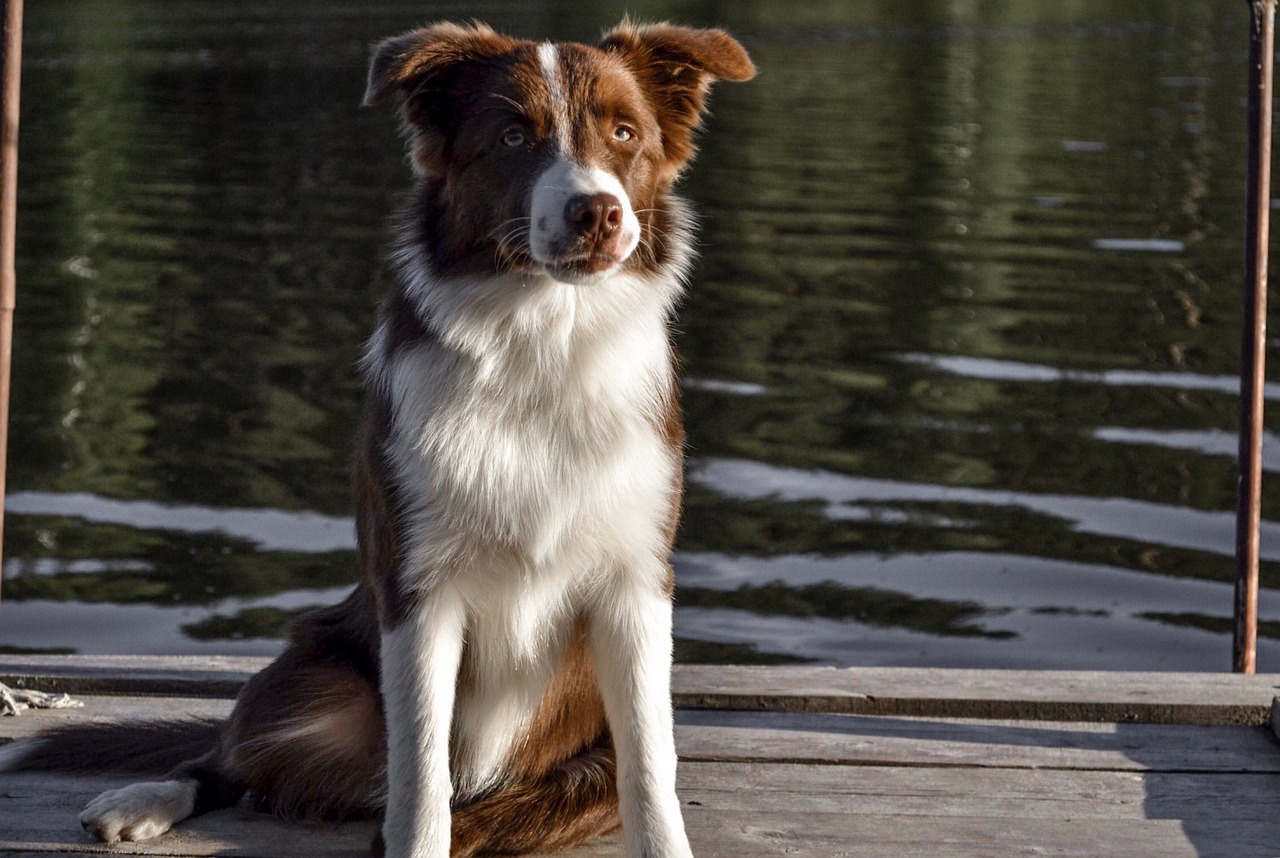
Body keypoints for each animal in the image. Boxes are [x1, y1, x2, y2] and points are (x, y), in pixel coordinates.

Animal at [0, 18, 747, 858]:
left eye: (625, 134)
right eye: (512, 136)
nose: (597, 212)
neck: (540, 342)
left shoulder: (634, 587)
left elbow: (651, 769)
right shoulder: (416, 588)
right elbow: (418, 777)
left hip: (580, 757)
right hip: (315, 683)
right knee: (235, 756)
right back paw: (147, 796)